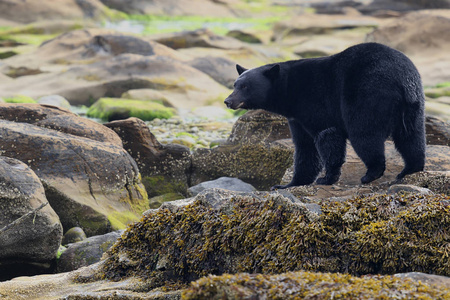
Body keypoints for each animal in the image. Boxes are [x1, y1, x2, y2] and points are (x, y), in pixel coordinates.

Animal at [225, 42, 426, 188]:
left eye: (245, 86)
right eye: (235, 84)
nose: (228, 101)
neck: (290, 89)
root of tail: (404, 78)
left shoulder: (315, 103)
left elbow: (327, 138)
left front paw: (326, 178)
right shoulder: (296, 117)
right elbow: (305, 147)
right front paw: (288, 184)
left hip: (368, 95)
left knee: (364, 135)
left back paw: (370, 174)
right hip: (412, 106)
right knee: (411, 137)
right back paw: (410, 170)